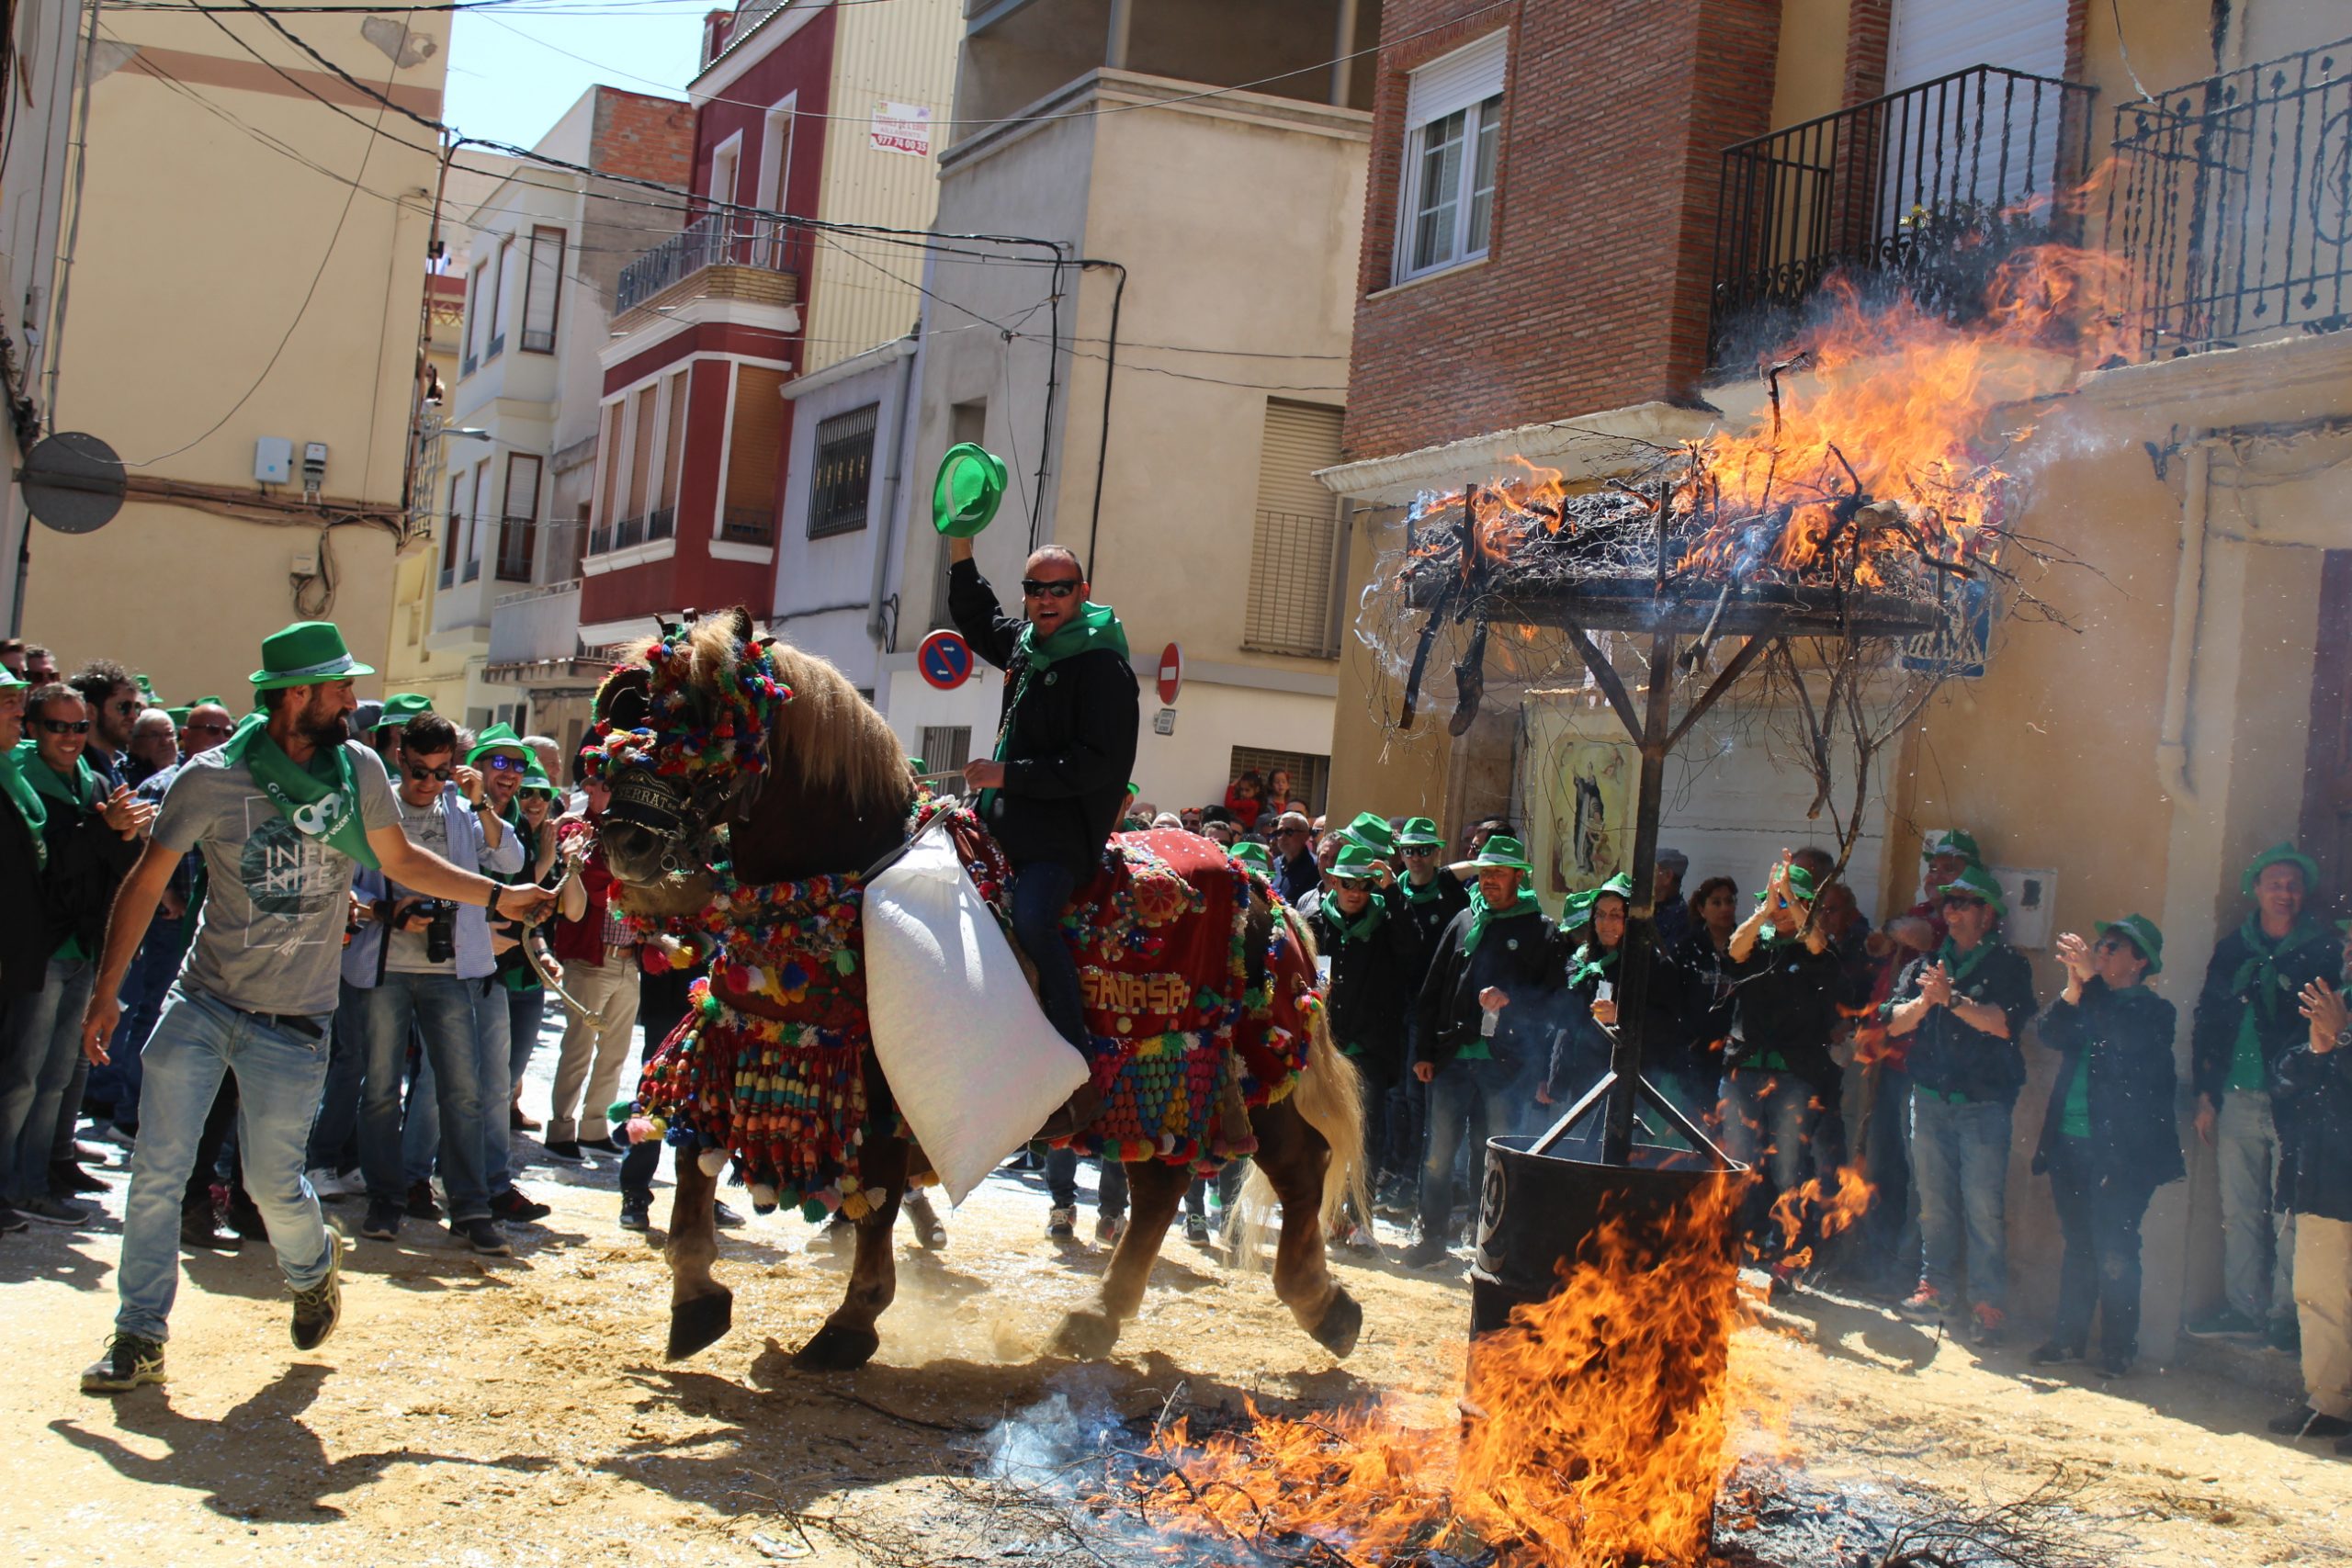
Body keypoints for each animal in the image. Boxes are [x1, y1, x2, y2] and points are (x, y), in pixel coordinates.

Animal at [576, 611, 1374, 1372]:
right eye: (626, 709)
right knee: (1159, 1190)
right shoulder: (740, 1040)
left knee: (1298, 1167)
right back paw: (1098, 1317)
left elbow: (876, 1196)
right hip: (1177, 1076)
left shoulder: (883, 1082)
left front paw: (853, 1319)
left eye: (708, 713)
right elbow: (694, 1163)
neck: (839, 881)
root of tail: (1264, 888)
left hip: (1250, 1067)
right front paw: (696, 1296)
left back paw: (1321, 1303)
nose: (628, 840)